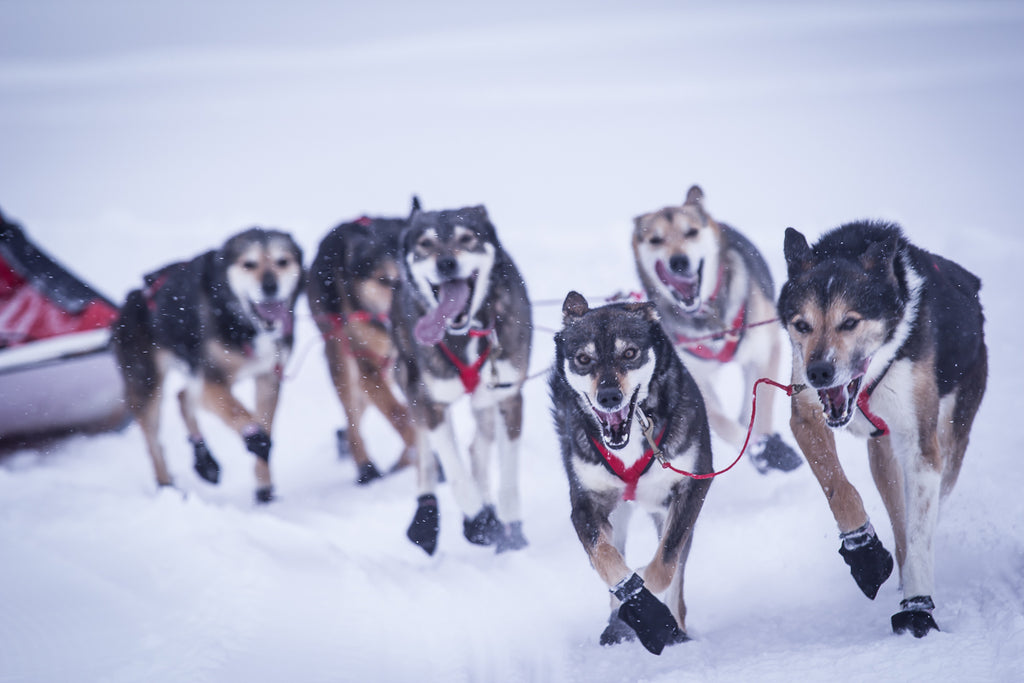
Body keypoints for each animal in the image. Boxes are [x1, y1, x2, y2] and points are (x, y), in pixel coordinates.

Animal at [114, 228, 303, 501]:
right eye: (249, 264)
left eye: (282, 261)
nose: (270, 286)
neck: (243, 322)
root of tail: (131, 298)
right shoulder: (212, 381)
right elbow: (241, 415)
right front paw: (256, 439)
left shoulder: (268, 377)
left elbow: (264, 421)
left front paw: (264, 486)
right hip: (147, 383)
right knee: (153, 440)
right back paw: (167, 487)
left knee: (182, 397)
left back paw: (205, 462)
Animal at [305, 210, 417, 483]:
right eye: (385, 280)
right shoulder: (365, 363)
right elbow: (400, 416)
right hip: (341, 358)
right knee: (352, 411)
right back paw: (365, 466)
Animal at [391, 201, 532, 557]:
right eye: (425, 244)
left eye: (467, 238)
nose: (446, 263)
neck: (465, 331)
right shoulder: (431, 403)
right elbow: (454, 471)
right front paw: (479, 522)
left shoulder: (509, 398)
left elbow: (507, 474)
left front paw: (511, 528)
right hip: (409, 381)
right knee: (427, 454)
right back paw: (426, 517)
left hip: (485, 401)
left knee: (478, 447)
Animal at [634, 187, 802, 475]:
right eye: (656, 239)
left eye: (691, 232)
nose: (679, 261)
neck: (707, 317)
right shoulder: (693, 377)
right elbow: (722, 422)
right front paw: (756, 449)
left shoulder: (767, 349)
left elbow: (763, 402)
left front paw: (770, 447)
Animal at [778, 222, 987, 638]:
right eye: (802, 325)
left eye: (849, 322)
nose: (819, 372)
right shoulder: (806, 415)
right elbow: (839, 488)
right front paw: (865, 553)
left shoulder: (922, 447)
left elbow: (922, 533)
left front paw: (918, 609)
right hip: (883, 460)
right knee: (898, 517)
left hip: (950, 438)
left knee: (928, 509)